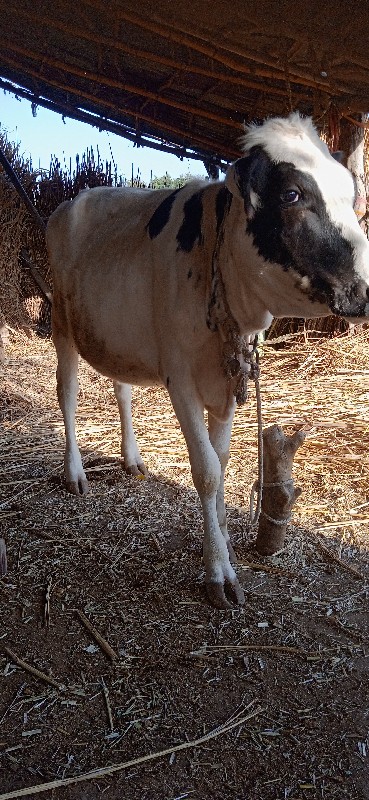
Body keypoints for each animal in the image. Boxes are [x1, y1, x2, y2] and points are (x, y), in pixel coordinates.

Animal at [46, 112, 368, 608]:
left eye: (350, 192)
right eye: (291, 194)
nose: (365, 290)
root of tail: (76, 199)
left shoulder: (228, 379)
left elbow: (223, 458)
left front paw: (223, 543)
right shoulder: (181, 378)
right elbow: (208, 472)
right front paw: (219, 571)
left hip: (122, 336)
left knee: (122, 389)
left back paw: (132, 459)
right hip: (63, 322)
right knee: (68, 392)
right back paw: (75, 471)